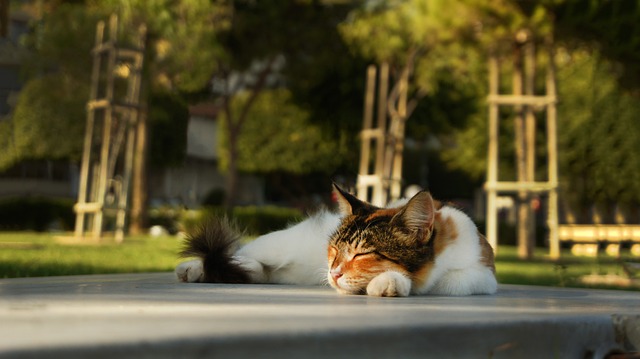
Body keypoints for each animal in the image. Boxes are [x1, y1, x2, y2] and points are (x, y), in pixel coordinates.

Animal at [176, 184, 500, 296]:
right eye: (333, 249)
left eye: (362, 254)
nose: (333, 273)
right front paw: (391, 282)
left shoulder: (483, 274)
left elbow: (450, 281)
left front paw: (387, 282)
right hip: (274, 245)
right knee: (240, 254)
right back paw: (191, 268)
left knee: (253, 270)